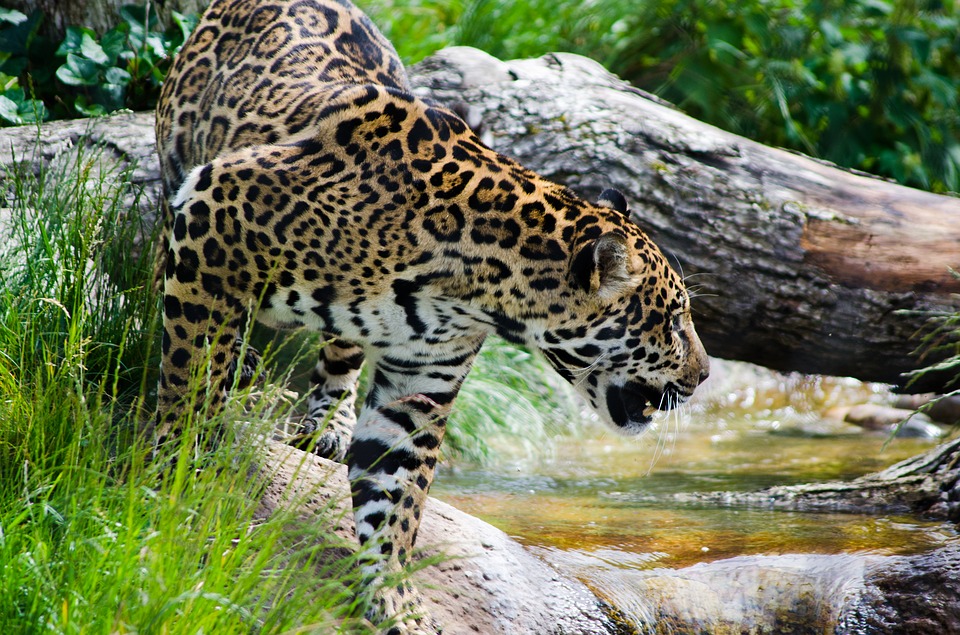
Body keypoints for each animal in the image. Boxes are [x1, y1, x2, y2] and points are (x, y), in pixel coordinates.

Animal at [153, 0, 710, 632]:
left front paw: (394, 598)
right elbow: (190, 381)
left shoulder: (419, 380)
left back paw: (328, 421)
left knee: (339, 355)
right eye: (672, 319)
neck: (473, 284)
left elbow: (396, 495)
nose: (705, 374)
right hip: (180, 174)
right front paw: (175, 479)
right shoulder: (215, 214)